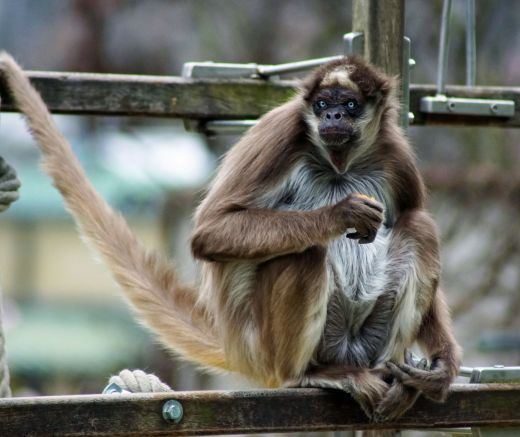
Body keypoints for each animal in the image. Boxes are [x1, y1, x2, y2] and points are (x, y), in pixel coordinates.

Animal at [2, 52, 462, 420]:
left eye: (349, 105)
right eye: (322, 105)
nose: (332, 117)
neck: (339, 166)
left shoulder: (395, 153)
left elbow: (412, 212)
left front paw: (442, 367)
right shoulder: (282, 131)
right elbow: (210, 231)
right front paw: (340, 212)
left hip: (369, 343)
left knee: (419, 227)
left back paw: (398, 381)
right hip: (268, 345)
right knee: (305, 252)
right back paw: (307, 375)